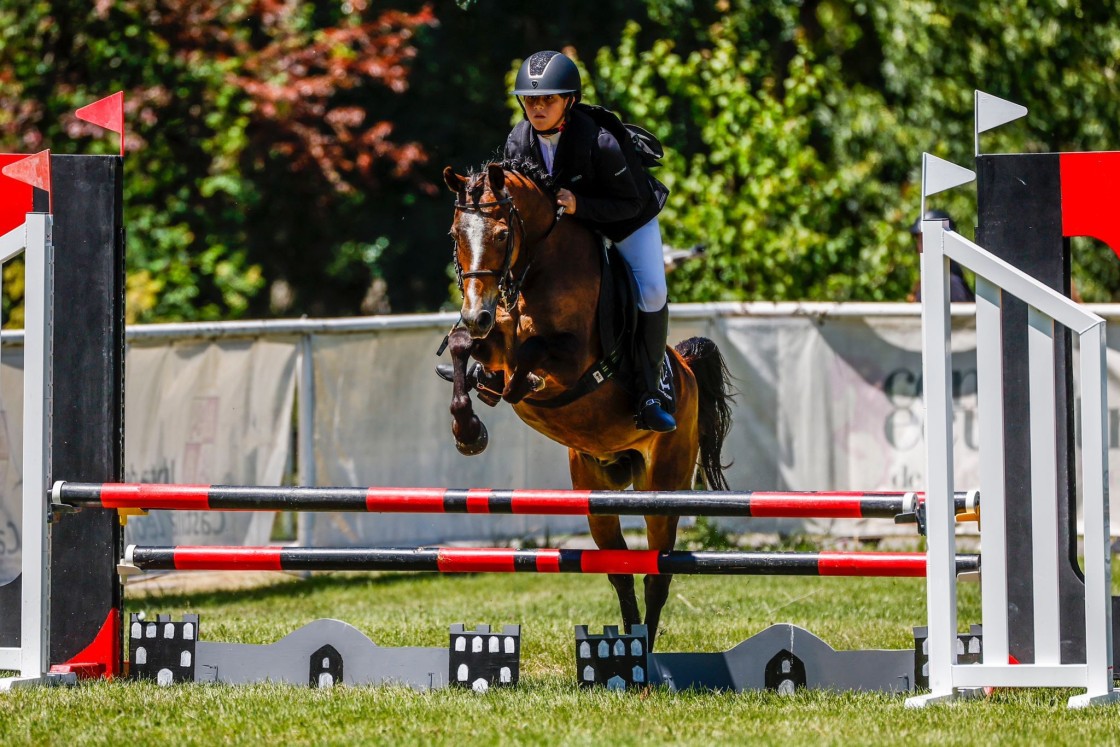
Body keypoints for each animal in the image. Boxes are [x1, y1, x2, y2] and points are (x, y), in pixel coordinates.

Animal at [441, 162, 739, 649]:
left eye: (502, 234)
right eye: (455, 234)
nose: (475, 311)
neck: (538, 266)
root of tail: (686, 368)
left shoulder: (572, 358)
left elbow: (532, 356)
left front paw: (517, 384)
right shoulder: (492, 334)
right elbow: (465, 345)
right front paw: (470, 430)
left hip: (663, 487)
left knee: (657, 571)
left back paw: (645, 652)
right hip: (596, 492)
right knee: (619, 570)